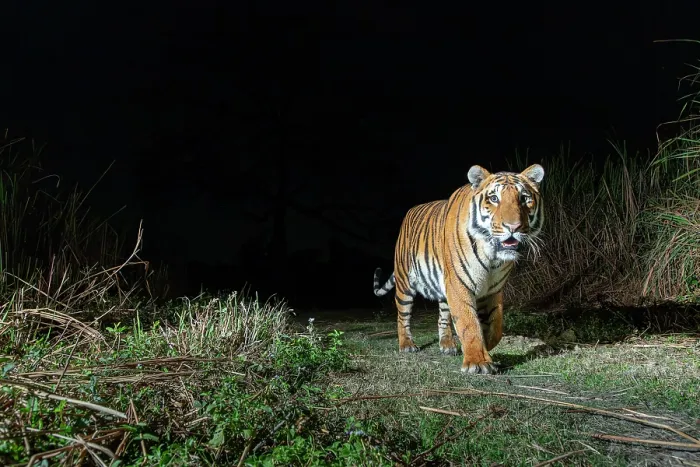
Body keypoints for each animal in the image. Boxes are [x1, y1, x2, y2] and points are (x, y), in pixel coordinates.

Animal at [373, 164, 545, 374]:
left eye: (524, 199)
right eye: (494, 198)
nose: (513, 227)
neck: (493, 257)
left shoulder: (493, 290)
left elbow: (496, 326)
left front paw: (485, 347)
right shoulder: (459, 285)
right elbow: (469, 323)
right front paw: (478, 361)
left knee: (443, 317)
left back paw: (447, 345)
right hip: (405, 283)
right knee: (402, 316)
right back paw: (407, 345)